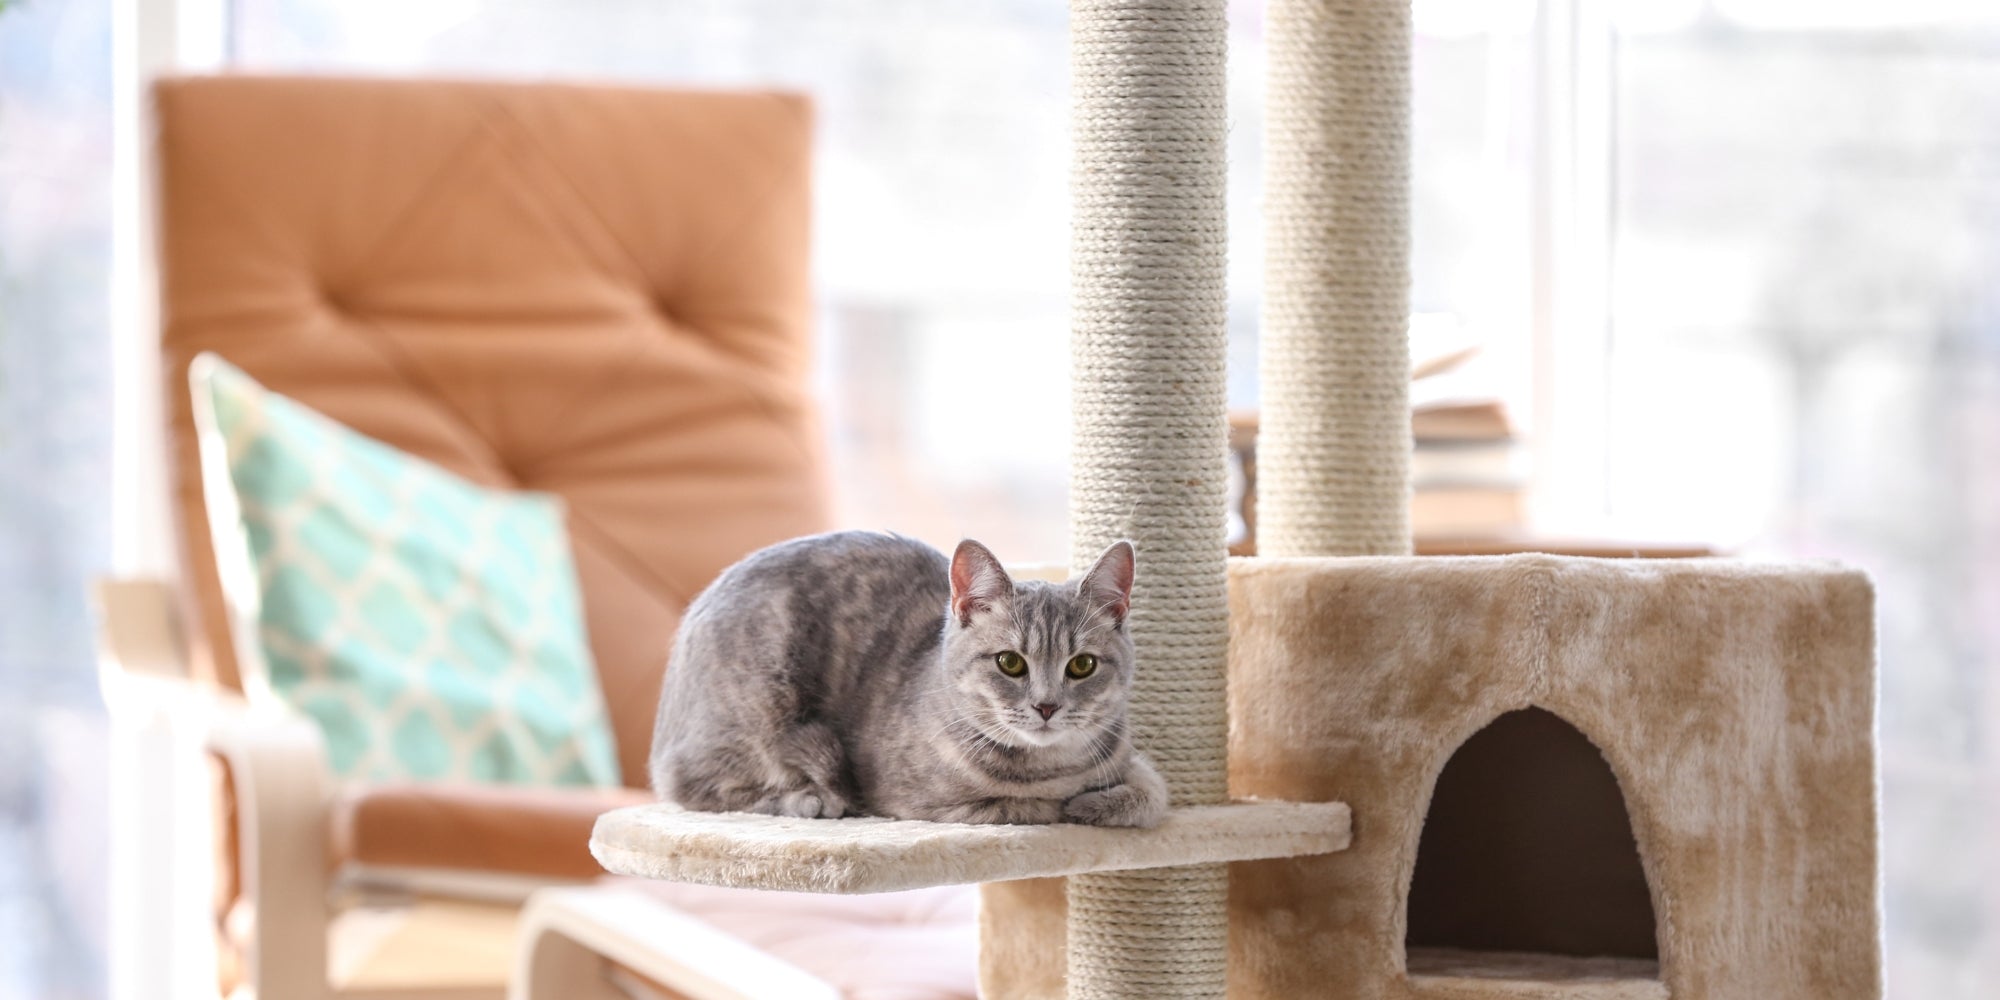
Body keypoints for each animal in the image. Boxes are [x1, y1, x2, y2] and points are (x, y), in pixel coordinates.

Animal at [648, 532, 1168, 828]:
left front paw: (1105, 802)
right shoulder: (920, 803)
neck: (1053, 767)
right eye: (1010, 663)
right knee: (691, 785)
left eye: (1082, 666)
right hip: (761, 709)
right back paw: (807, 799)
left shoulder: (1128, 759)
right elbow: (1027, 808)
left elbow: (1153, 792)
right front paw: (1076, 805)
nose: (1046, 706)